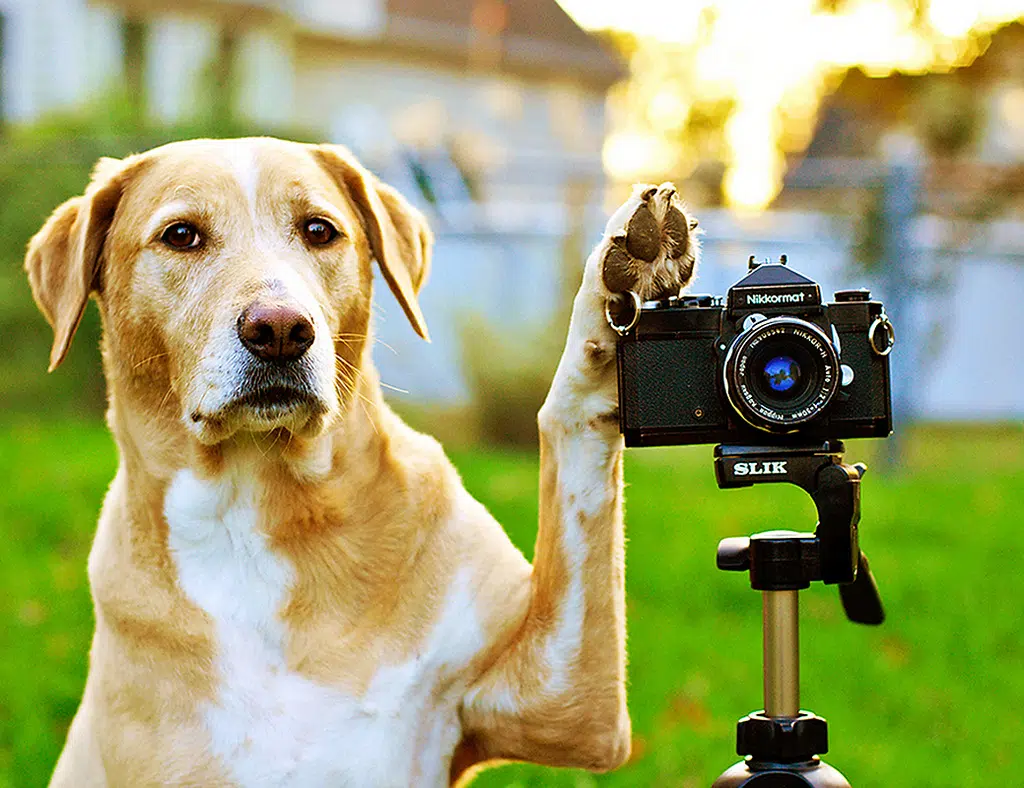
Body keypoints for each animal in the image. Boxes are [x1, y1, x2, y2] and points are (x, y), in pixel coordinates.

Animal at [24, 138, 696, 781]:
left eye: (319, 230)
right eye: (181, 235)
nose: (280, 329)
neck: (261, 509)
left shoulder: (567, 707)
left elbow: (571, 439)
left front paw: (628, 268)